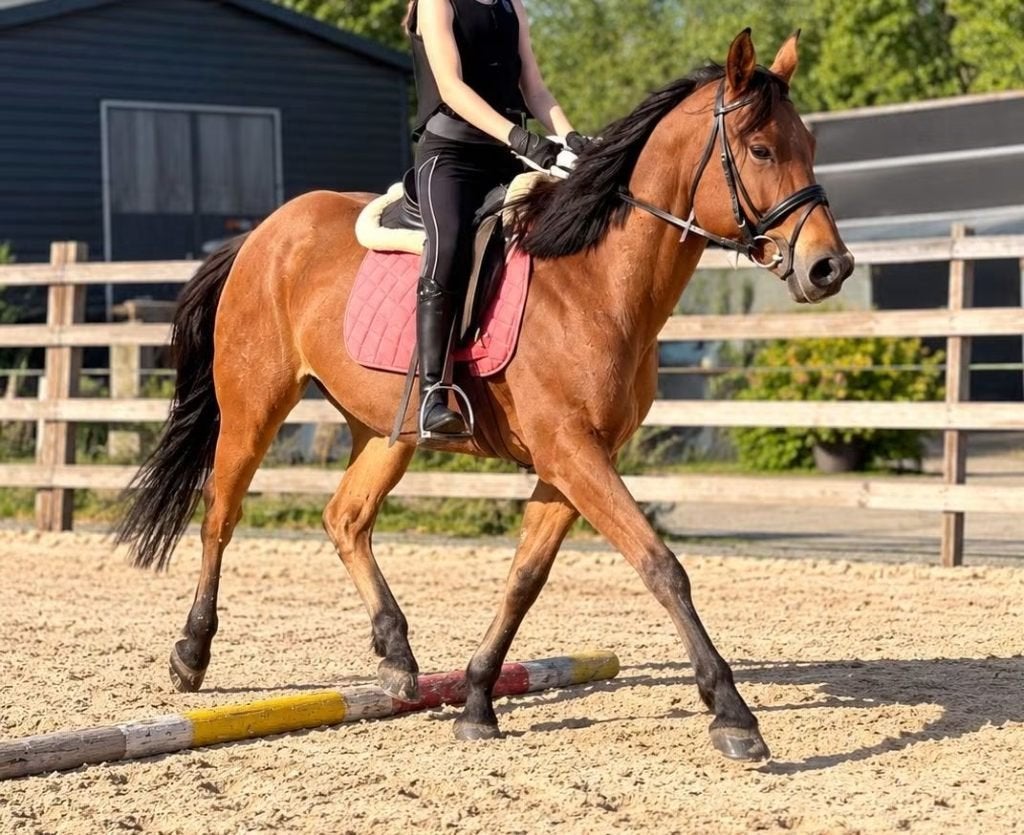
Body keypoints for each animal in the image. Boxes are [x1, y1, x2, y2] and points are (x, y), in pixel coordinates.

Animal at [116, 29, 853, 762]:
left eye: (810, 145)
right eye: (761, 149)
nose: (829, 267)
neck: (593, 279)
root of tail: (263, 233)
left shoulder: (572, 461)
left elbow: (525, 578)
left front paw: (475, 701)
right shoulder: (573, 452)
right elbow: (661, 564)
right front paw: (733, 713)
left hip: (386, 429)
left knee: (346, 517)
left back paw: (397, 657)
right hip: (254, 404)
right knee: (220, 514)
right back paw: (191, 653)